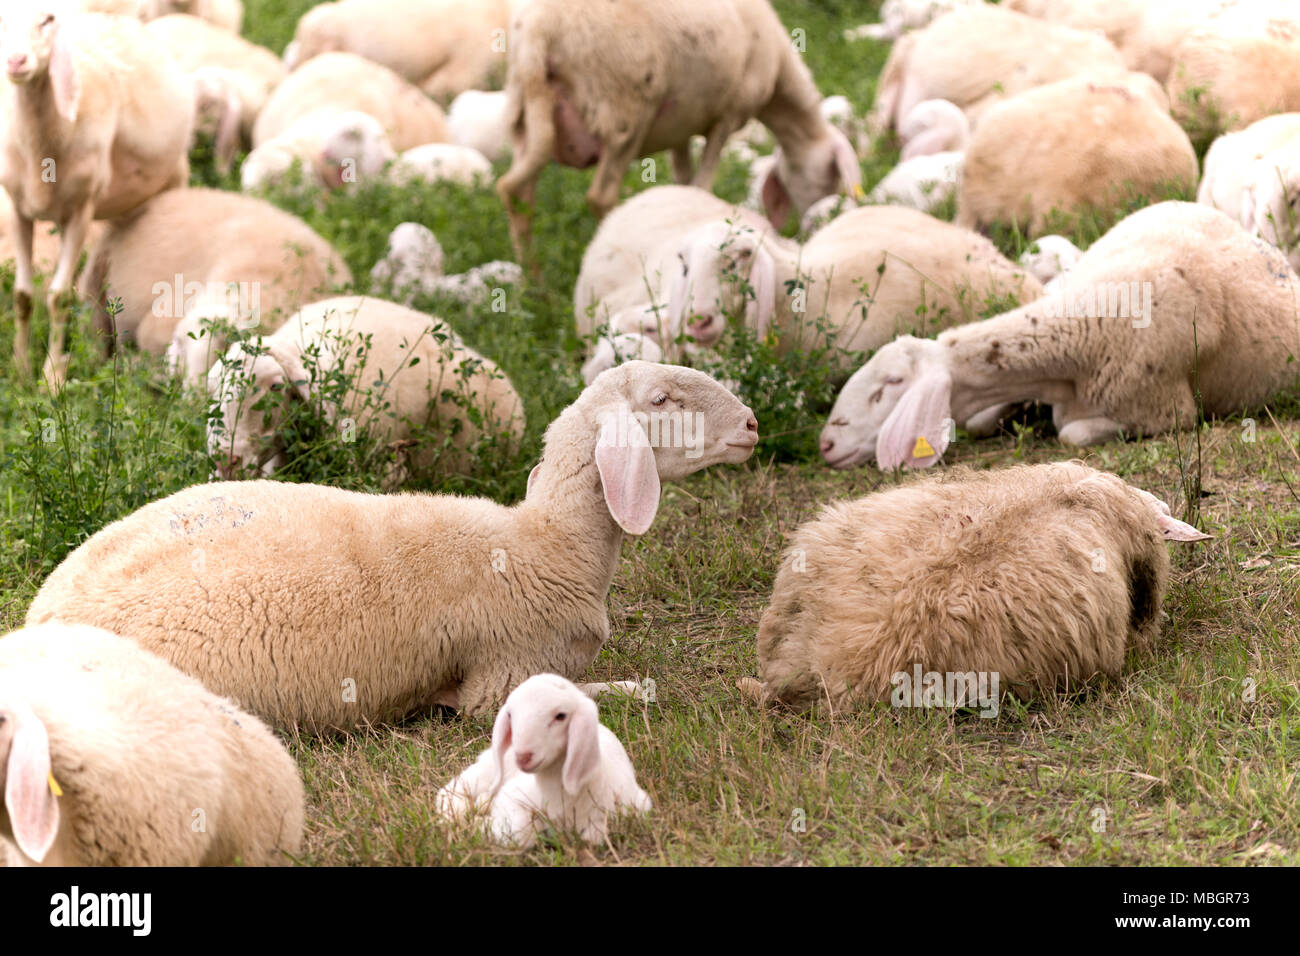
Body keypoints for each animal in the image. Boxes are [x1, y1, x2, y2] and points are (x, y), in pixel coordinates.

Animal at [0, 6, 193, 389]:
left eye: (47, 20)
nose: (15, 61)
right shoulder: (17, 209)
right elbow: (23, 295)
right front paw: (20, 370)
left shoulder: (80, 211)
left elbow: (58, 297)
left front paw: (52, 378)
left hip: (175, 177)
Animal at [25, 362, 760, 729]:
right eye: (662, 399)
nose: (753, 423)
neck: (546, 545)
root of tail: (38, 617)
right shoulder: (504, 679)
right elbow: (621, 694)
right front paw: (639, 689)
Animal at [434, 674, 651, 848]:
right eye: (510, 714)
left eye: (561, 716)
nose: (522, 756)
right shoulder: (513, 794)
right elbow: (522, 833)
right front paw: (482, 824)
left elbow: (593, 836)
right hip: (489, 770)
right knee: (451, 790)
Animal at [497, 0, 863, 258]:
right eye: (830, 178)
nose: (814, 223)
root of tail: (540, 29)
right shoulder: (727, 116)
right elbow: (702, 185)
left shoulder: (681, 128)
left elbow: (684, 180)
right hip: (623, 113)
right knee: (601, 196)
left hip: (526, 112)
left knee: (517, 192)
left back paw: (534, 287)